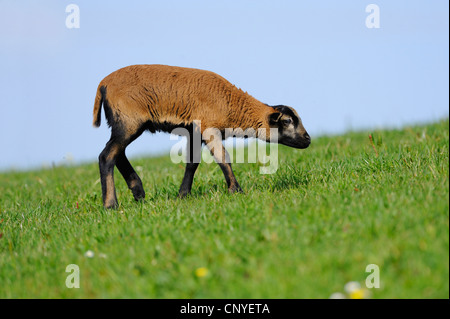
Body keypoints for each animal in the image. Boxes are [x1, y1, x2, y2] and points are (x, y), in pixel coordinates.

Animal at [91, 65, 310, 210]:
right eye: (287, 121)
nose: (307, 139)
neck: (232, 105)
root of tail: (103, 85)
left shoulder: (194, 131)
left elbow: (192, 163)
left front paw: (183, 195)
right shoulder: (208, 127)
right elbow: (223, 158)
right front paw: (236, 191)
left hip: (123, 124)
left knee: (118, 154)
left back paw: (139, 194)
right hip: (128, 122)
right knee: (107, 156)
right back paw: (111, 205)